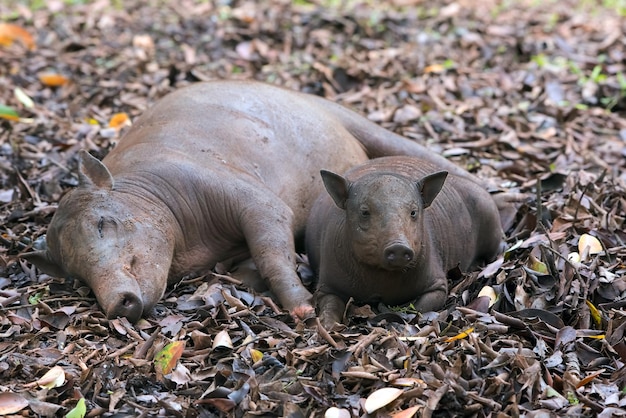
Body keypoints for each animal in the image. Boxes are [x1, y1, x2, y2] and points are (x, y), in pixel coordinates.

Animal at [304, 155, 504, 328]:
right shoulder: (327, 283)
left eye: (413, 212)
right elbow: (329, 305)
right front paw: (329, 327)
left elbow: (423, 305)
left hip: (490, 217)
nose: (399, 247)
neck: (380, 277)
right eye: (364, 212)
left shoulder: (437, 282)